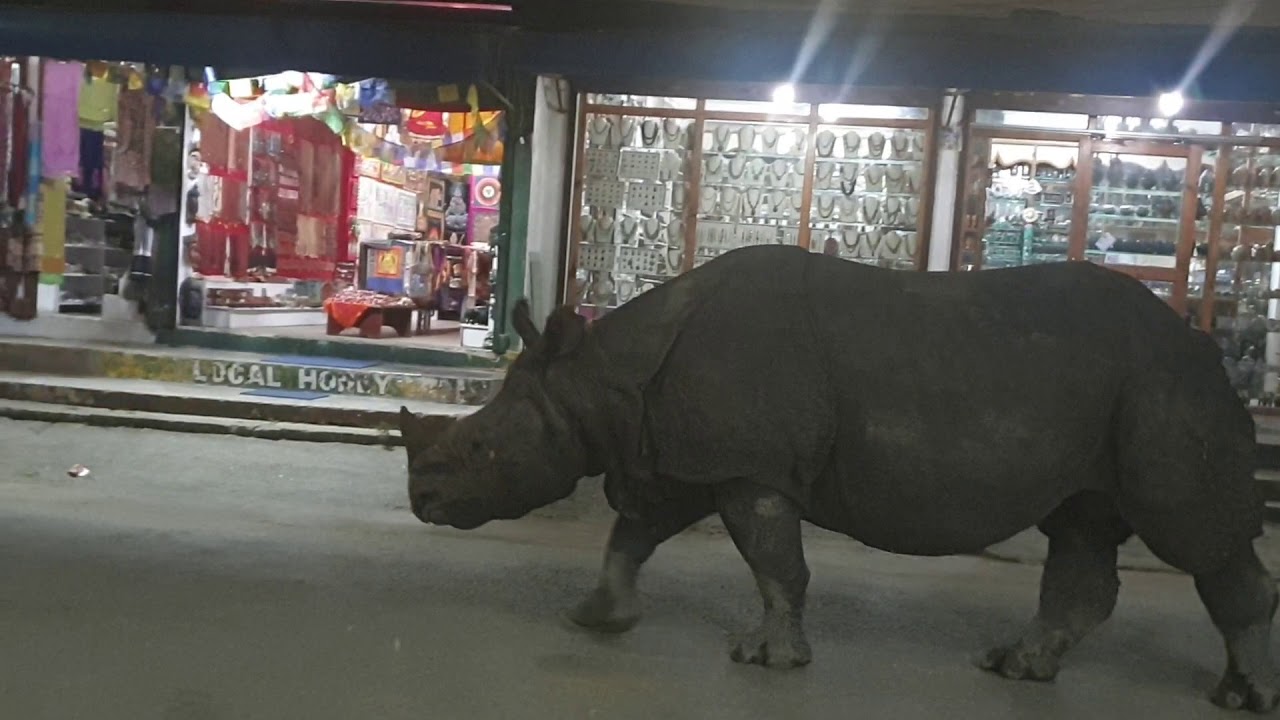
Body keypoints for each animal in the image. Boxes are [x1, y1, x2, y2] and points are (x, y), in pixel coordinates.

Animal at [400, 244, 1278, 713]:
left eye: (482, 449)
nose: (422, 500)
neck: (601, 378)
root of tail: (1205, 344)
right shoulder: (683, 456)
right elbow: (634, 535)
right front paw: (597, 618)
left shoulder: (746, 467)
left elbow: (774, 563)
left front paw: (766, 658)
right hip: (1118, 397)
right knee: (1085, 526)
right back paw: (1018, 668)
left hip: (1163, 386)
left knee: (1197, 539)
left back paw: (1244, 696)